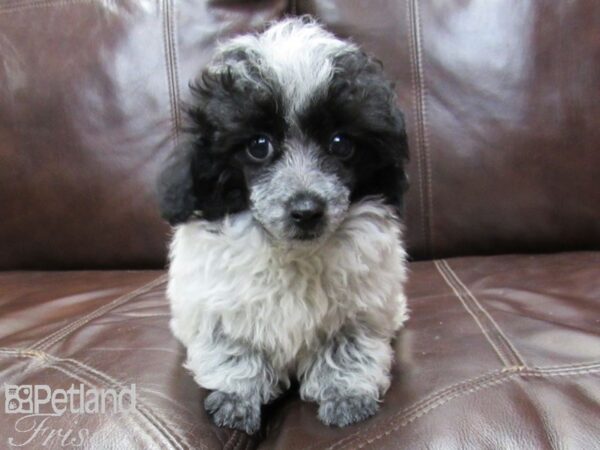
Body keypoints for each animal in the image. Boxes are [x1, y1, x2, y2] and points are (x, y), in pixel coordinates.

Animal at [157, 18, 410, 436]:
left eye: (341, 143)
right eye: (259, 146)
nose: (307, 210)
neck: (293, 252)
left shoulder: (361, 308)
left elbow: (348, 348)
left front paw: (346, 395)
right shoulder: (218, 307)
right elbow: (235, 351)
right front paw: (236, 398)